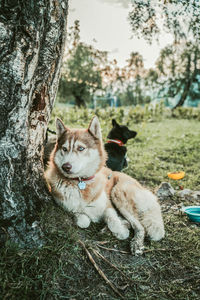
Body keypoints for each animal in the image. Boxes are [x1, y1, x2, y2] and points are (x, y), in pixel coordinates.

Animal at [45, 116, 164, 254]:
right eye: (64, 149)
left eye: (80, 148)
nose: (66, 167)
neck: (80, 182)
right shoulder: (69, 208)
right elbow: (83, 221)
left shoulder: (108, 205)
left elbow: (113, 221)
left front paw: (121, 232)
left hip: (117, 192)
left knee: (140, 226)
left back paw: (136, 243)